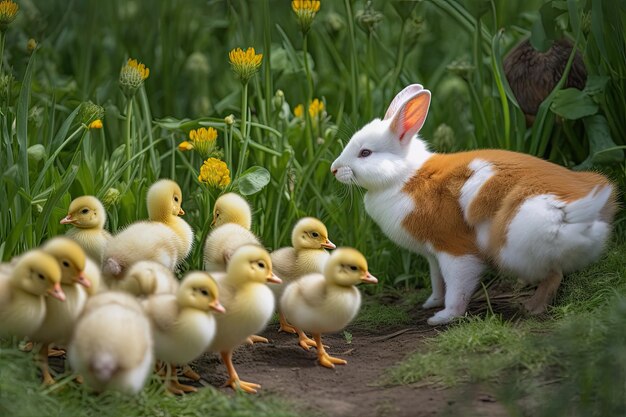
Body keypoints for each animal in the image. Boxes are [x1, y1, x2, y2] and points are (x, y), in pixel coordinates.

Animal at [332, 85, 616, 324]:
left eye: (365, 153)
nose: (334, 169)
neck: (406, 177)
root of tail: (582, 210)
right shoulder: (432, 255)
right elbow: (437, 281)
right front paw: (431, 303)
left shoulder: (454, 249)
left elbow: (457, 287)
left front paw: (443, 317)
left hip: (516, 246)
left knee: (553, 275)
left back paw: (532, 307)